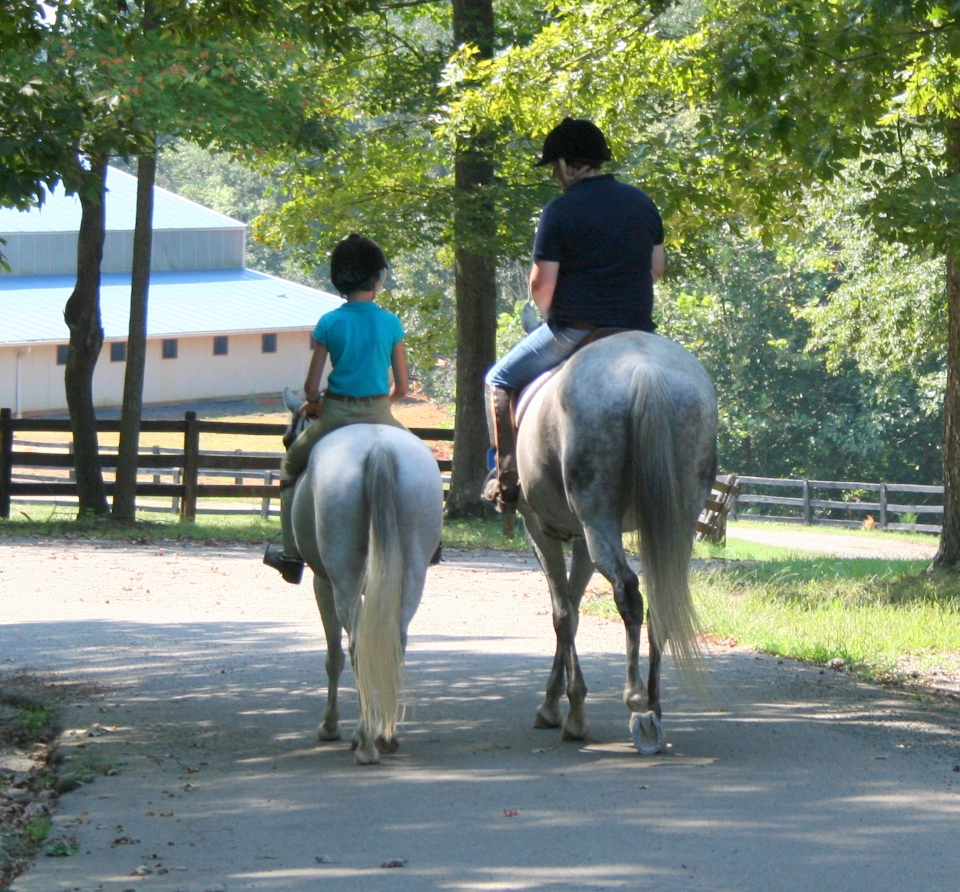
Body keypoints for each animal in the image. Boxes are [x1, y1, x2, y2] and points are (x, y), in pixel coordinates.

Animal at [282, 386, 446, 764]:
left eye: (286, 439)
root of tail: (378, 448)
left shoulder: (322, 582)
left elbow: (334, 655)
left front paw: (330, 726)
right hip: (411, 574)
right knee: (395, 640)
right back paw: (385, 736)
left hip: (342, 578)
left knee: (357, 646)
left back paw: (365, 742)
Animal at [516, 332, 712, 748]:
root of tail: (645, 366)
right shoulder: (580, 540)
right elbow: (572, 608)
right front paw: (559, 700)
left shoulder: (541, 530)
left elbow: (563, 614)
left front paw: (567, 711)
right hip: (676, 525)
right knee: (660, 599)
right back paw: (654, 705)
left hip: (598, 522)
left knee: (627, 591)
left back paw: (638, 704)